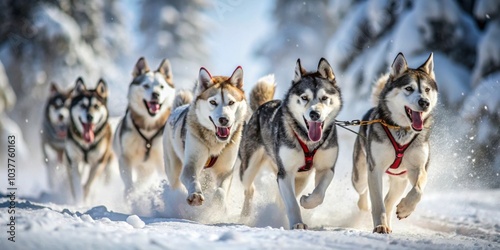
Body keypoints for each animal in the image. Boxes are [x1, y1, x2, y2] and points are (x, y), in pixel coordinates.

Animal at [113, 57, 176, 195]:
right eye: (146, 85)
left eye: (162, 86)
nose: (155, 94)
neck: (148, 126)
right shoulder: (125, 157)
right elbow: (128, 181)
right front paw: (130, 194)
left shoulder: (161, 159)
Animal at [164, 66, 248, 207]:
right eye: (213, 102)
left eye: (231, 102)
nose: (224, 119)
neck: (215, 143)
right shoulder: (191, 164)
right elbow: (193, 179)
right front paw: (196, 195)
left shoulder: (226, 171)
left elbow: (220, 191)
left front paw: (218, 205)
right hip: (173, 167)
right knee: (176, 184)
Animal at [239, 57, 342, 229]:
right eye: (304, 98)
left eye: (324, 98)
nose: (314, 114)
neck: (308, 141)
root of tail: (262, 107)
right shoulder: (285, 173)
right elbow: (292, 203)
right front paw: (297, 223)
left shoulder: (326, 168)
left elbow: (319, 194)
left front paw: (307, 201)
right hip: (249, 167)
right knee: (249, 189)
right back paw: (246, 216)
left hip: (301, 178)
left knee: (280, 199)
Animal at [352, 51, 438, 233]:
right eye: (409, 88)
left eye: (427, 89)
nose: (425, 102)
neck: (402, 130)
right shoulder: (375, 169)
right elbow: (377, 203)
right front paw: (380, 225)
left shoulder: (417, 168)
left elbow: (418, 191)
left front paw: (405, 208)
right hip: (359, 176)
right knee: (364, 192)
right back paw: (366, 206)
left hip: (400, 181)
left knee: (389, 202)